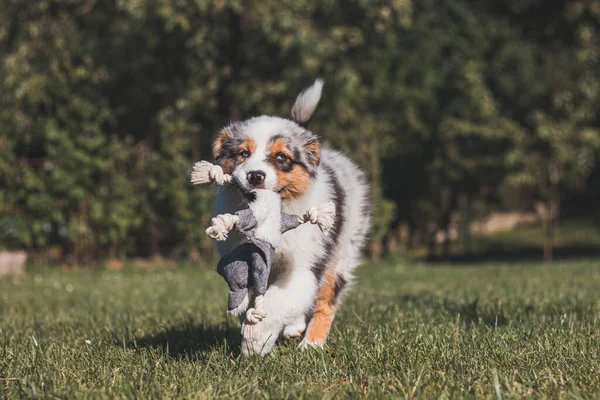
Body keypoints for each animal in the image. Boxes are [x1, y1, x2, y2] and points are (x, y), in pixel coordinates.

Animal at [211, 79, 370, 354]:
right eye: (243, 153)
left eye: (281, 157)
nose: (255, 176)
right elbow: (251, 298)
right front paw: (257, 335)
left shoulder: (304, 265)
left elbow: (278, 299)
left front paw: (255, 340)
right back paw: (295, 328)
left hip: (342, 253)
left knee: (325, 301)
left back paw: (312, 345)